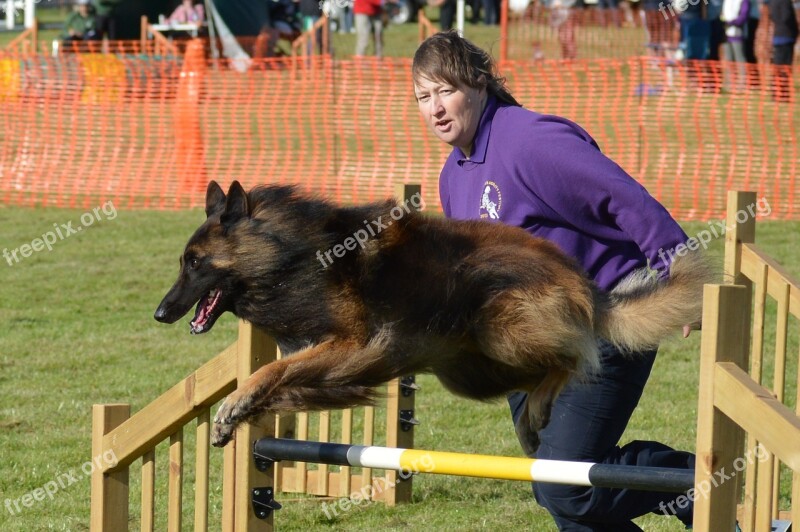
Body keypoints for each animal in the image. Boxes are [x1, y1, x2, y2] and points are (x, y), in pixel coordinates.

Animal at [155, 181, 712, 450]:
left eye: (195, 262)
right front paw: (237, 417)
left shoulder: (349, 345)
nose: (161, 313)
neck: (289, 257)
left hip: (500, 330)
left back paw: (538, 410)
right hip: (471, 373)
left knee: (574, 358)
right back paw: (531, 419)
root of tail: (582, 278)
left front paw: (235, 405)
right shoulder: (330, 362)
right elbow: (280, 382)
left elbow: (269, 371)